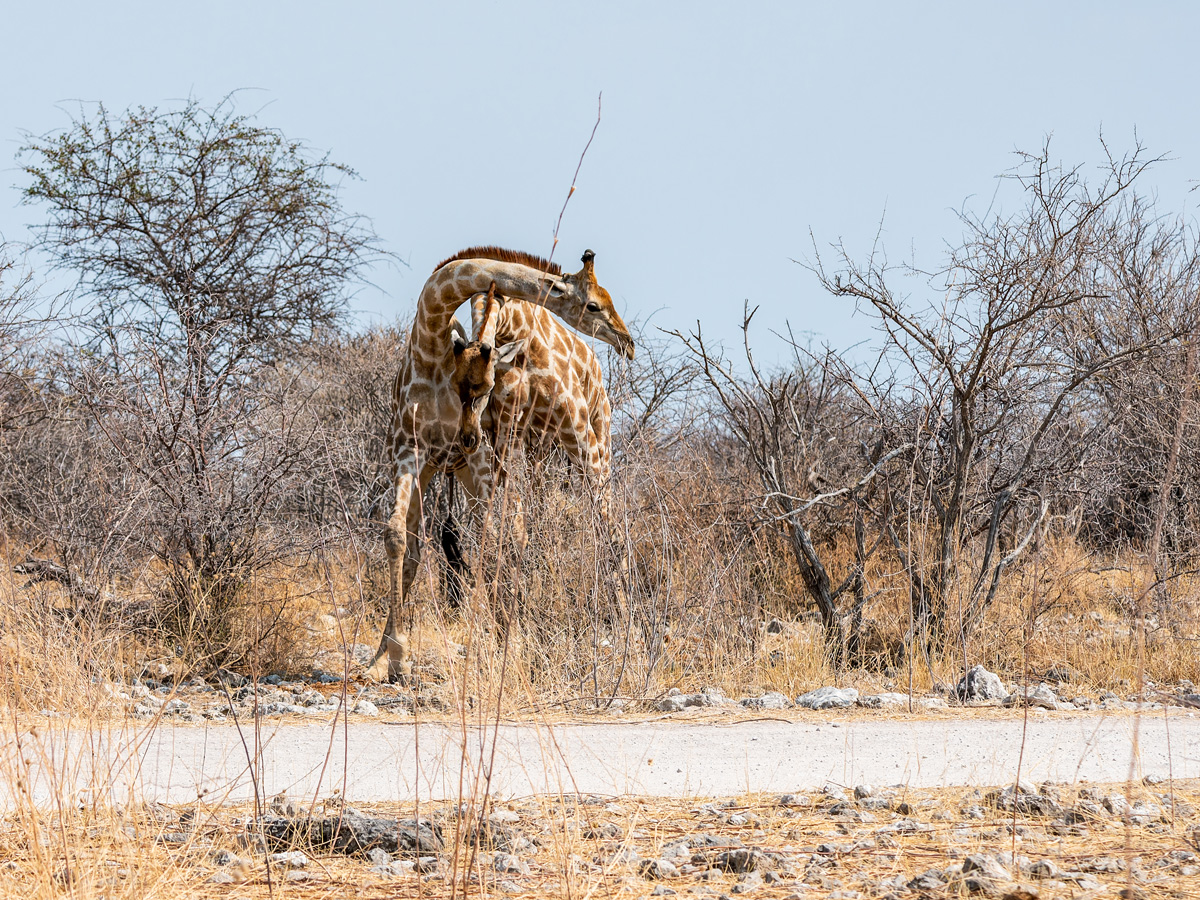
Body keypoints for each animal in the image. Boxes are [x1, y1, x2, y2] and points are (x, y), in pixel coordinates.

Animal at [369, 247, 634, 682]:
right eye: (594, 304)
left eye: (486, 388)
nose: (628, 342)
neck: (429, 342)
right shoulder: (410, 450)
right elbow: (397, 537)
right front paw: (392, 659)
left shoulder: (484, 456)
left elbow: (495, 542)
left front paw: (499, 647)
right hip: (469, 466)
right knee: (432, 544)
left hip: (590, 443)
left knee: (600, 528)